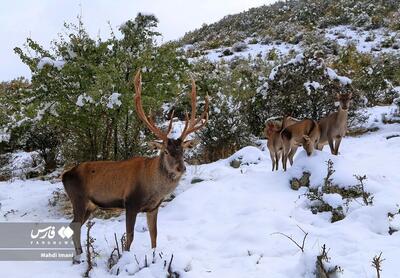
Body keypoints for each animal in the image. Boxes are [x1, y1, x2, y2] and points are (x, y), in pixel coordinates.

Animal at [62, 70, 209, 262]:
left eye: (183, 151)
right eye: (166, 151)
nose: (181, 168)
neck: (153, 189)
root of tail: (64, 175)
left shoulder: (154, 207)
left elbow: (154, 234)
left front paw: (154, 257)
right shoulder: (130, 202)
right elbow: (129, 236)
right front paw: (124, 258)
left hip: (90, 205)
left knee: (75, 226)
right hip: (77, 198)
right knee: (75, 226)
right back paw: (78, 258)